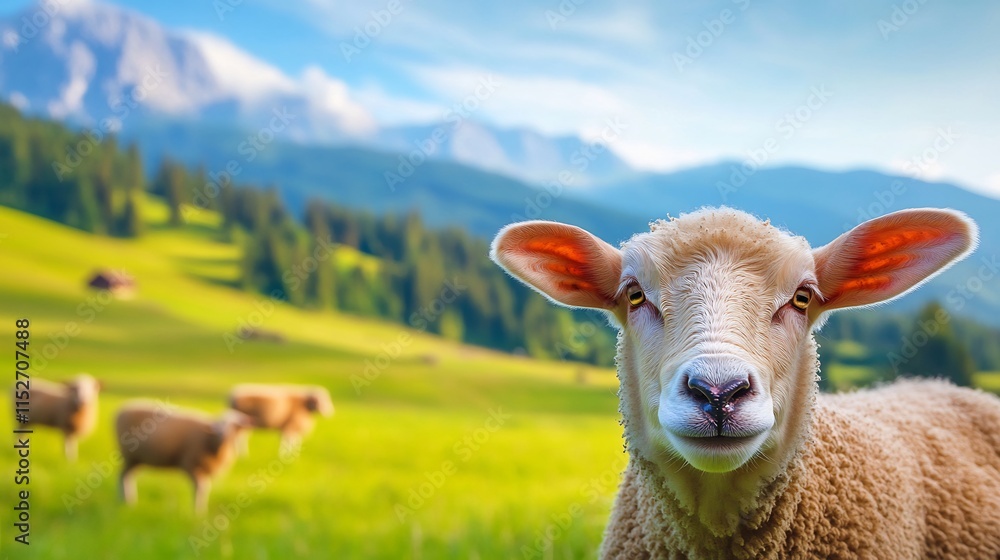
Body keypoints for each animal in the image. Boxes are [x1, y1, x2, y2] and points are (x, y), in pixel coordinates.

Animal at [116, 401, 253, 514]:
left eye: (234, 425)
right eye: (218, 425)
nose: (222, 435)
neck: (212, 443)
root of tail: (121, 410)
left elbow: (205, 488)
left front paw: (200, 510)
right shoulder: (190, 463)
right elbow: (200, 487)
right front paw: (197, 512)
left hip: (137, 459)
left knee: (128, 476)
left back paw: (127, 500)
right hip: (129, 455)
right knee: (123, 475)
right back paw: (126, 501)